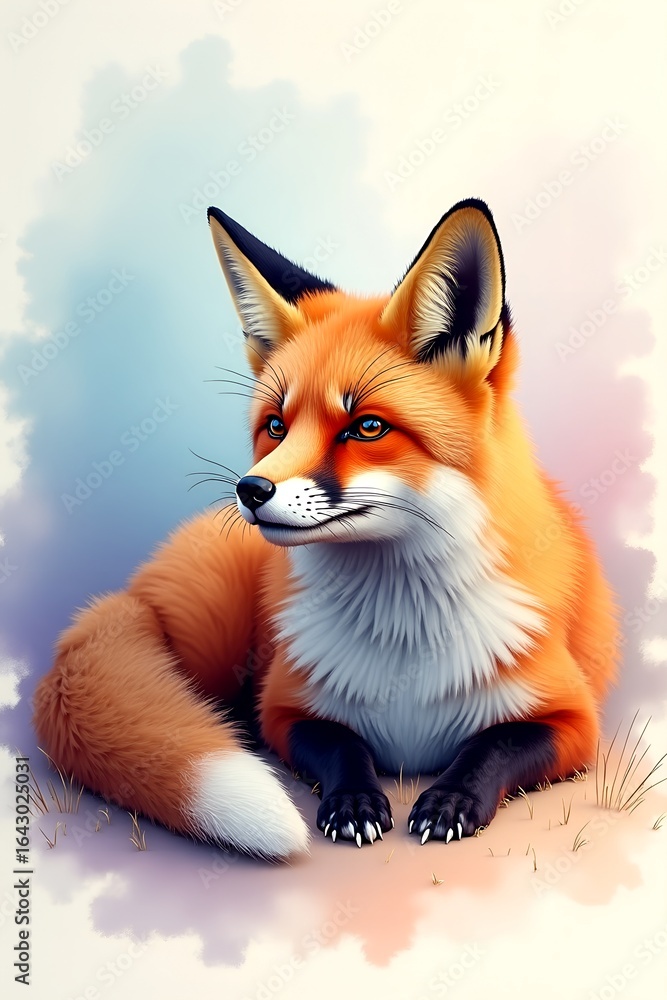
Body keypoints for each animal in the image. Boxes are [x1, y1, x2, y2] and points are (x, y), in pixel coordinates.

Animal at [33, 198, 619, 860]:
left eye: (366, 427)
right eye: (276, 426)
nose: (251, 491)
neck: (403, 639)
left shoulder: (574, 723)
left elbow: (489, 747)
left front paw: (449, 800)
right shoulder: (287, 709)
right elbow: (343, 744)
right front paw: (355, 802)